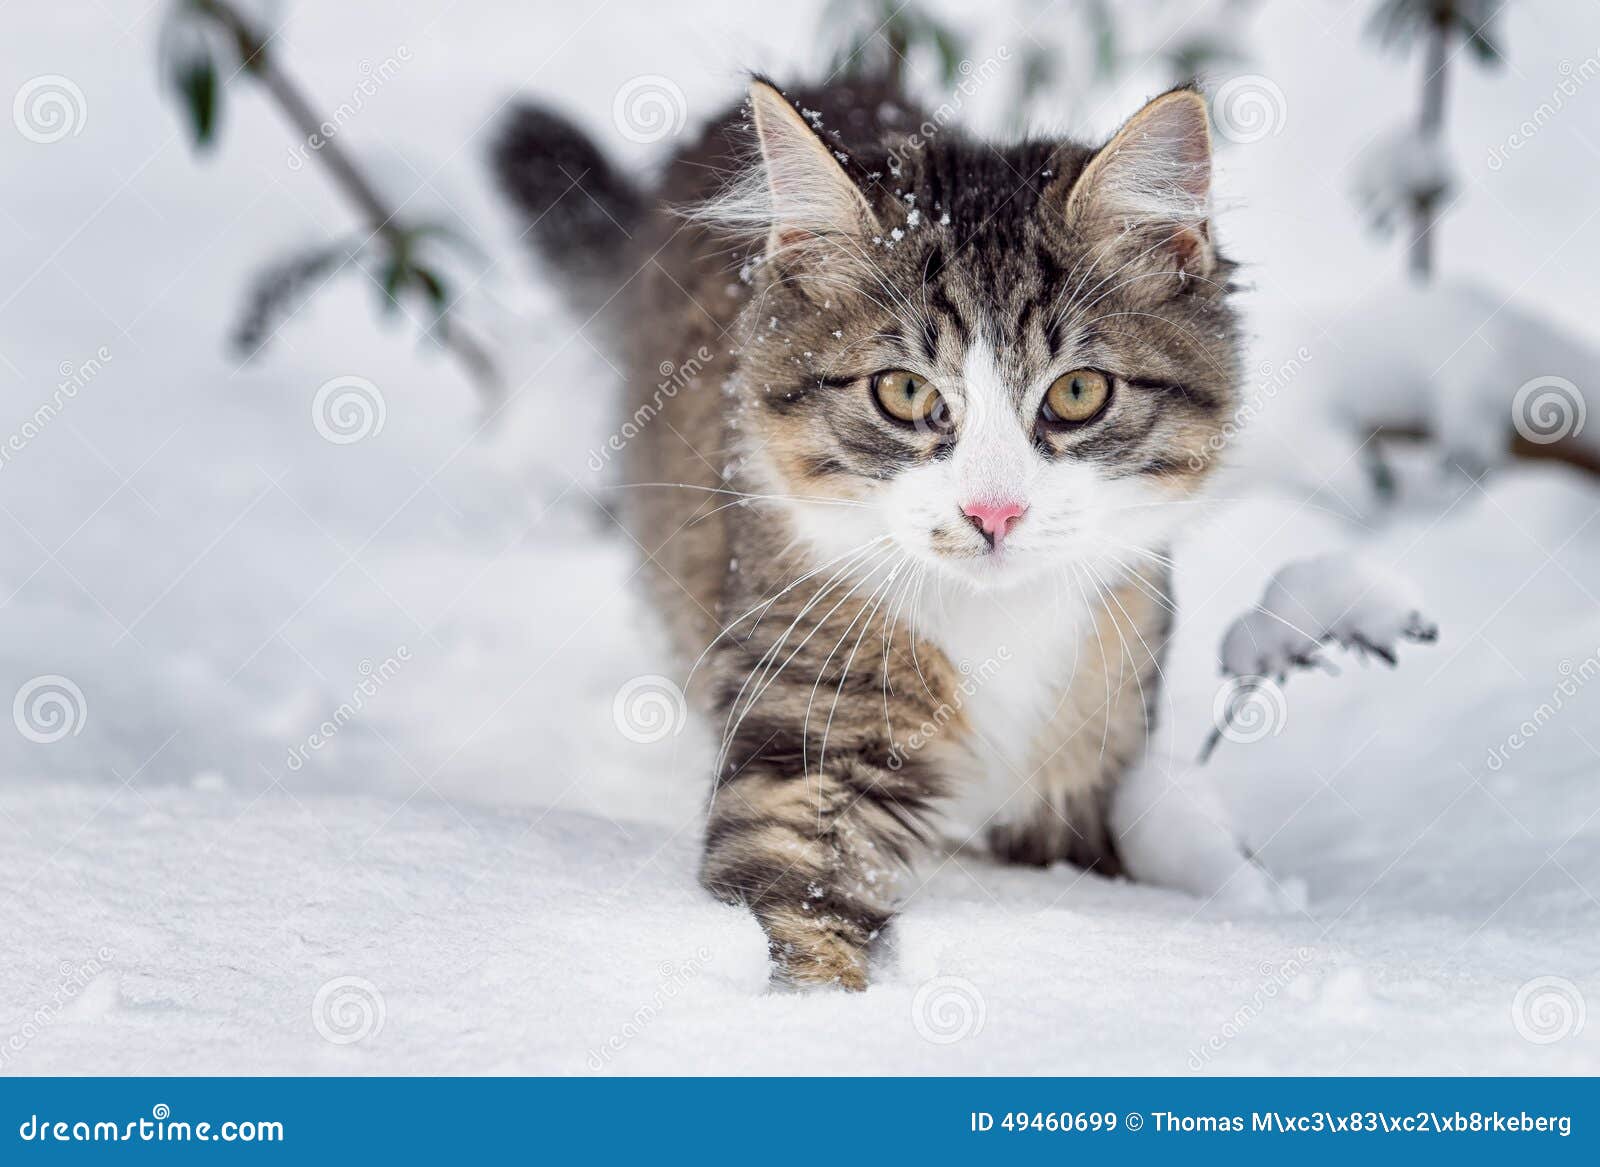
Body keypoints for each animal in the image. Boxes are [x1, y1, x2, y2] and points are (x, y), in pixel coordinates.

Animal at [492, 72, 1241, 986]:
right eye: (907, 393)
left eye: (1076, 393)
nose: (994, 512)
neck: (998, 623)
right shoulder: (807, 729)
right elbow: (799, 907)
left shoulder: (1086, 759)